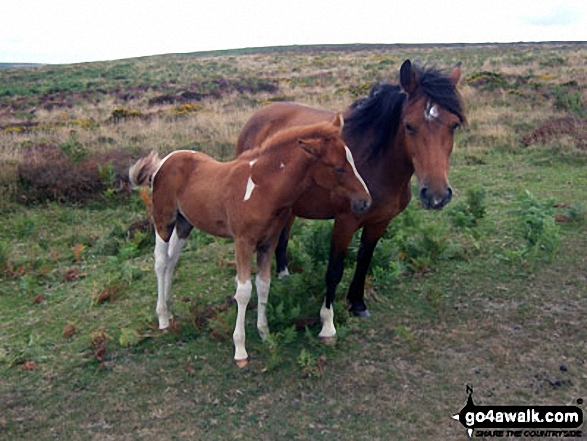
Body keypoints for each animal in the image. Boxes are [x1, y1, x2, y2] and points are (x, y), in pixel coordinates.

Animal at [130, 114, 370, 364]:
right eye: (339, 168)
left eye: (352, 162)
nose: (365, 201)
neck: (263, 189)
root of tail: (163, 162)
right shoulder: (243, 242)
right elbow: (244, 292)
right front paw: (240, 350)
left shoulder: (268, 242)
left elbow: (264, 285)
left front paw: (265, 334)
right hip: (163, 221)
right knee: (161, 262)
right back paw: (162, 318)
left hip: (185, 223)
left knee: (172, 260)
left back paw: (169, 310)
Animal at [237, 58, 466, 320]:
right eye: (409, 125)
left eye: (454, 125)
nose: (437, 195)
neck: (375, 163)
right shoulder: (345, 221)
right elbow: (335, 269)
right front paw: (328, 316)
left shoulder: (380, 222)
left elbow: (364, 260)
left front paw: (357, 303)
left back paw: (284, 273)